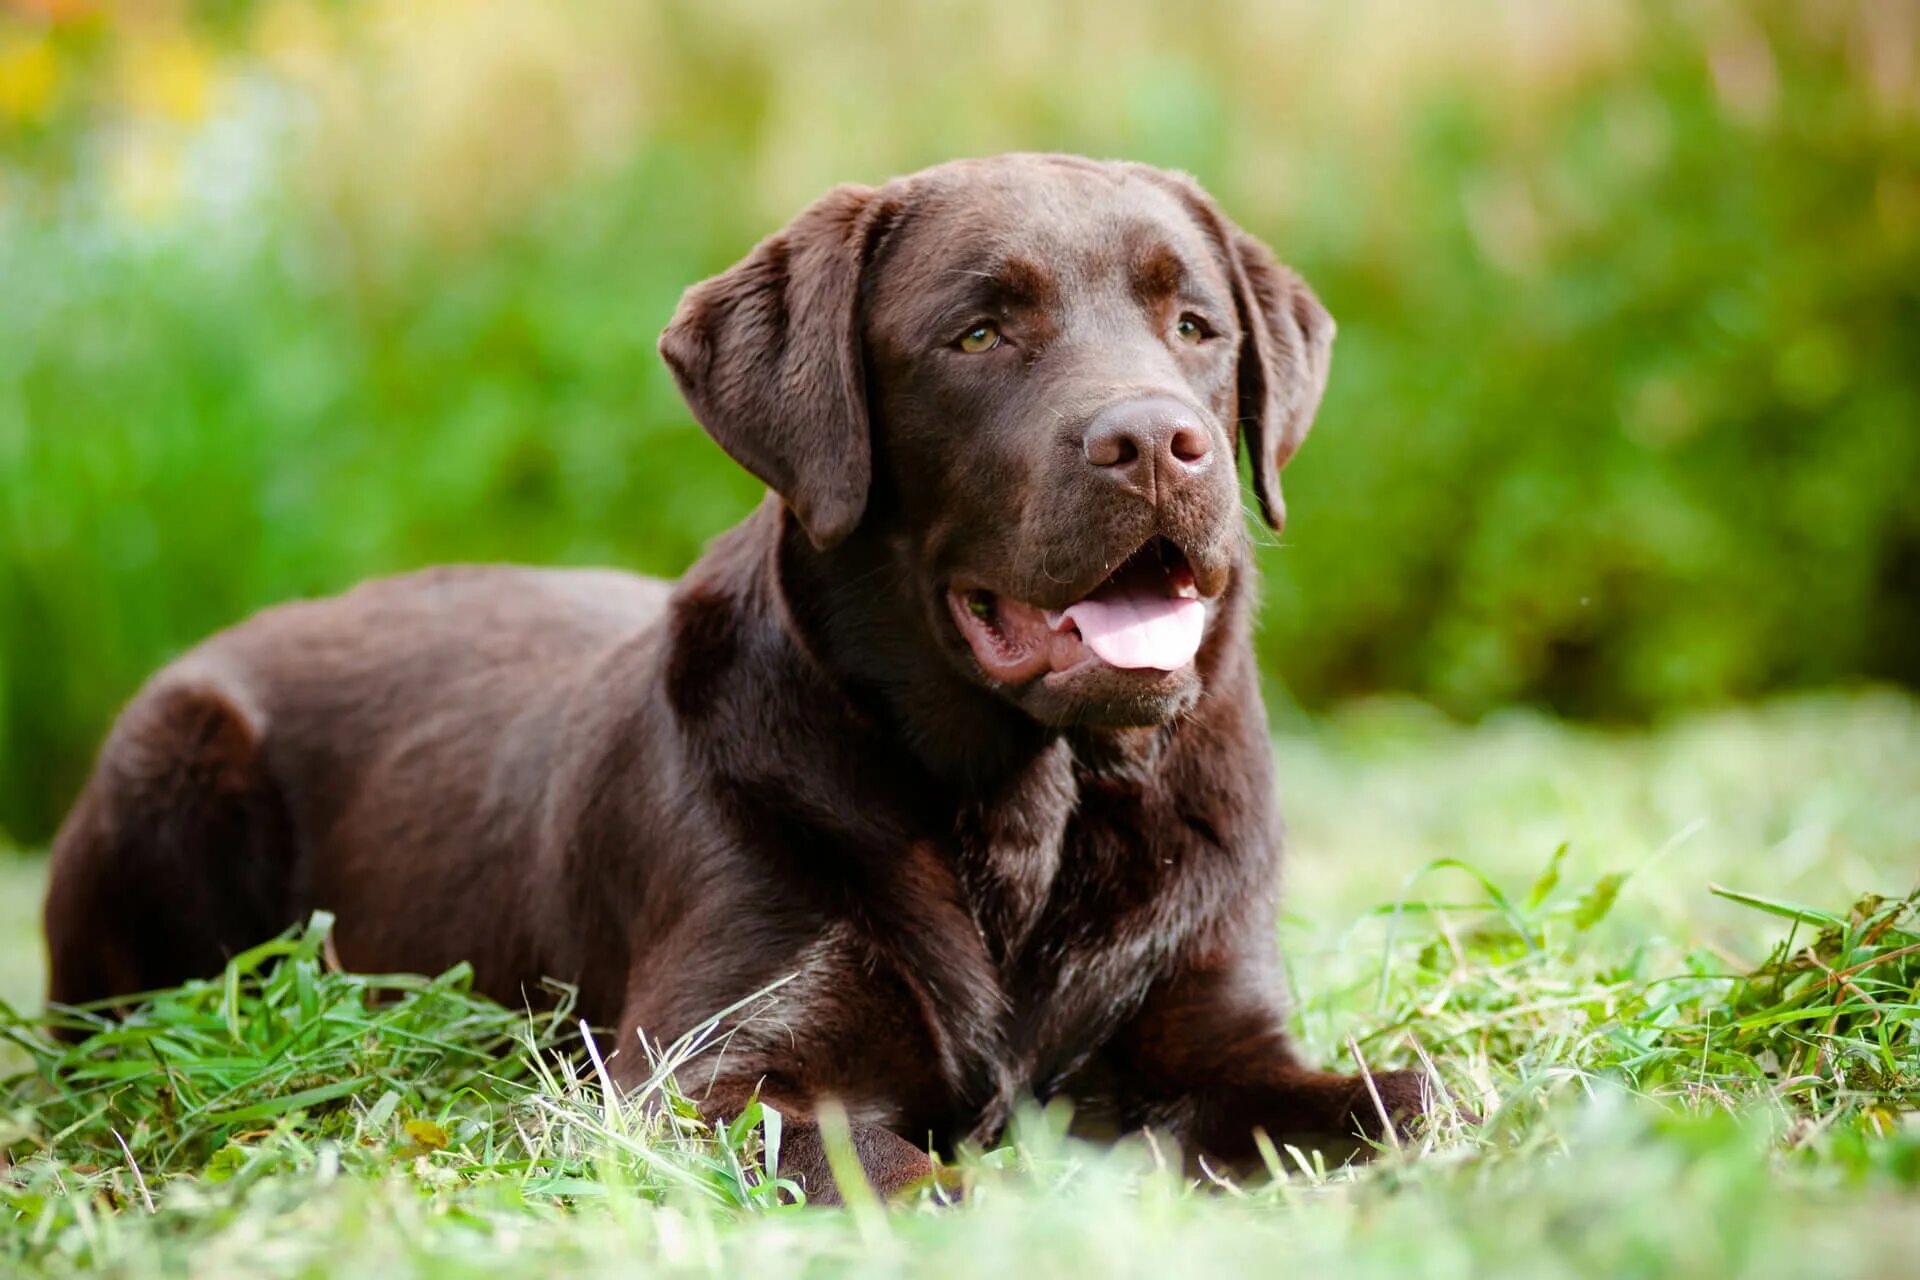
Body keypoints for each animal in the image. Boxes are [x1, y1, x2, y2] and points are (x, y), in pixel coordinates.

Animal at [41, 152, 1428, 1205]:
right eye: (978, 333)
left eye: (1195, 326)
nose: (1156, 440)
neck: (1031, 808)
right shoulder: (707, 1078)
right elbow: (923, 1175)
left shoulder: (1220, 1022)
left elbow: (1412, 1094)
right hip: (170, 756)